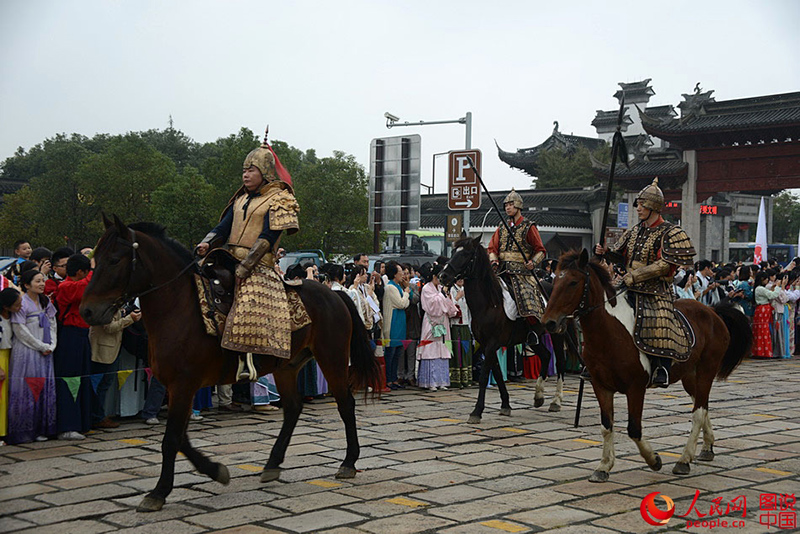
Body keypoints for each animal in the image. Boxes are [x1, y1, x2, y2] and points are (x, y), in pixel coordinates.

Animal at [81, 219, 382, 516]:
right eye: (95, 259)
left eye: (114, 260)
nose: (87, 311)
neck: (180, 308)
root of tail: (334, 296)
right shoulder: (181, 387)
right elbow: (180, 438)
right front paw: (215, 470)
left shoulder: (183, 385)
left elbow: (172, 439)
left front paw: (159, 492)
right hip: (286, 366)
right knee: (293, 408)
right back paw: (272, 463)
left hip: (332, 357)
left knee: (345, 403)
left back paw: (348, 462)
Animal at [438, 237, 568, 426]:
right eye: (453, 252)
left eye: (465, 254)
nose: (443, 276)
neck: (489, 303)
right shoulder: (487, 344)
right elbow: (498, 374)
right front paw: (505, 405)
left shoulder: (492, 343)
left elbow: (485, 375)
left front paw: (476, 411)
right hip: (533, 337)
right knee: (545, 355)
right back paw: (538, 396)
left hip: (556, 333)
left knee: (560, 362)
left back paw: (556, 401)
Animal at [540, 252, 752, 486]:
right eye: (555, 282)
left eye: (573, 282)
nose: (549, 323)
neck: (609, 332)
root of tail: (713, 312)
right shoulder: (600, 386)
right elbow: (606, 426)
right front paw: (603, 467)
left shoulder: (635, 387)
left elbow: (634, 429)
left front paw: (654, 460)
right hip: (690, 376)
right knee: (702, 405)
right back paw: (707, 447)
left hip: (707, 369)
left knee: (698, 412)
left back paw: (684, 460)